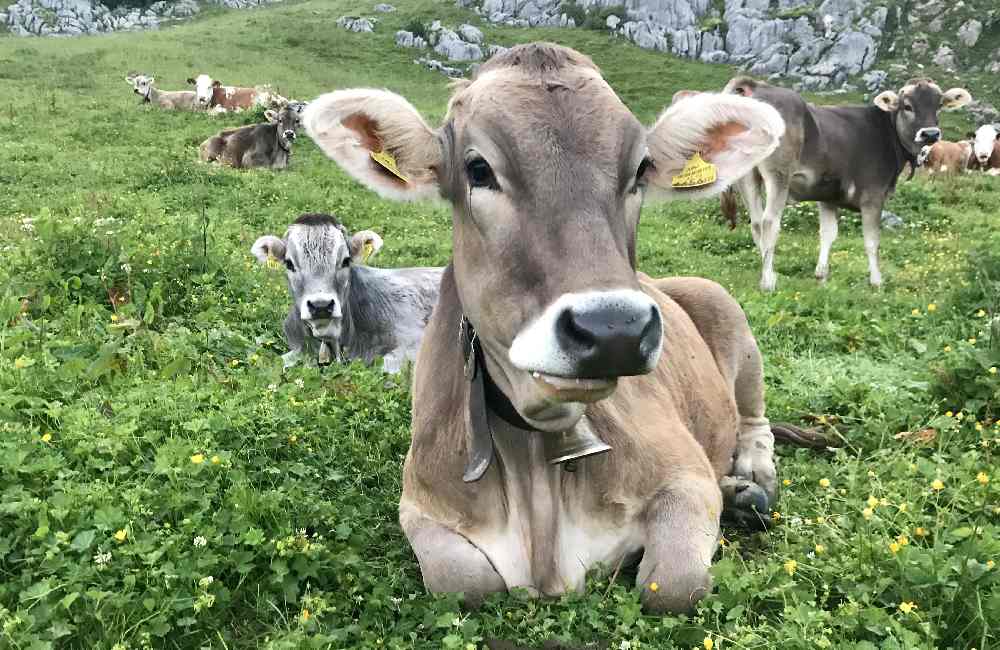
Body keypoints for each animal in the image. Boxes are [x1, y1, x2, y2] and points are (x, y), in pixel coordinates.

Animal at [302, 43, 812, 612]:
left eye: (640, 169)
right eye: (477, 169)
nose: (613, 329)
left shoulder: (685, 477)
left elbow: (671, 584)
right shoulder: (421, 507)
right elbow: (463, 584)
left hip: (723, 306)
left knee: (754, 421)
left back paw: (750, 480)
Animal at [720, 75, 968, 288]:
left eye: (939, 105)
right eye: (907, 106)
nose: (930, 134)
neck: (887, 135)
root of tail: (756, 86)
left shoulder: (828, 196)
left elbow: (828, 234)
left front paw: (821, 274)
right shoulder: (873, 196)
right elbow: (872, 240)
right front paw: (876, 280)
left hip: (746, 176)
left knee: (756, 224)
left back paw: (767, 274)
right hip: (779, 174)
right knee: (769, 222)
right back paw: (768, 282)